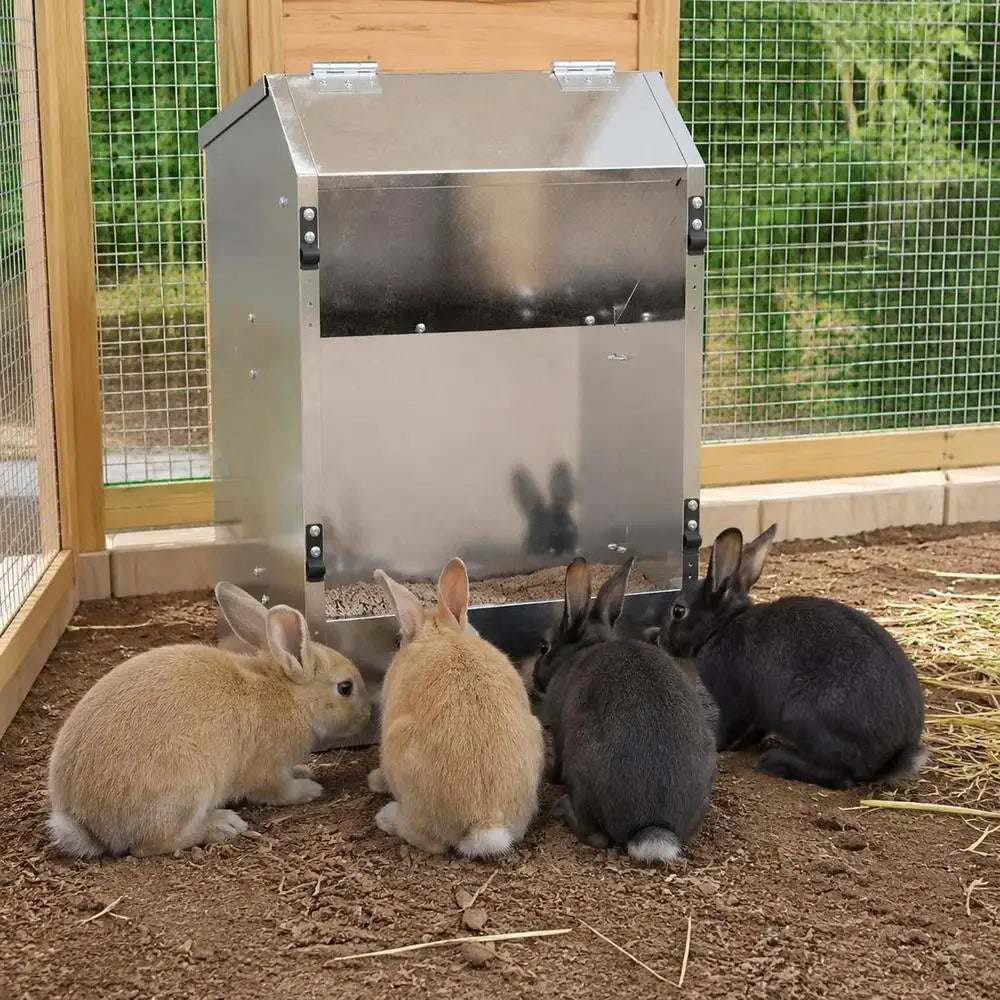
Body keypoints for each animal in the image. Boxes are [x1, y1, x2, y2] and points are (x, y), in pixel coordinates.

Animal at [46, 582, 371, 859]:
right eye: (345, 687)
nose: (367, 715)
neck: (291, 696)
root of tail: (87, 823)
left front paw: (304, 772)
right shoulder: (267, 770)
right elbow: (277, 790)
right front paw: (309, 790)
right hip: (186, 778)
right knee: (150, 845)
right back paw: (222, 825)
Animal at [531, 556, 717, 865]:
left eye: (544, 647)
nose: (534, 677)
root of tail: (651, 828)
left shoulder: (558, 732)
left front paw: (550, 775)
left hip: (580, 768)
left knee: (596, 836)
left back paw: (562, 808)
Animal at [660, 523, 928, 790]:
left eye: (678, 611)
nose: (661, 640)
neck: (721, 627)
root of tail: (891, 757)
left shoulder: (733, 703)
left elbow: (728, 728)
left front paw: (716, 743)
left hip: (803, 716)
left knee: (840, 777)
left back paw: (774, 762)